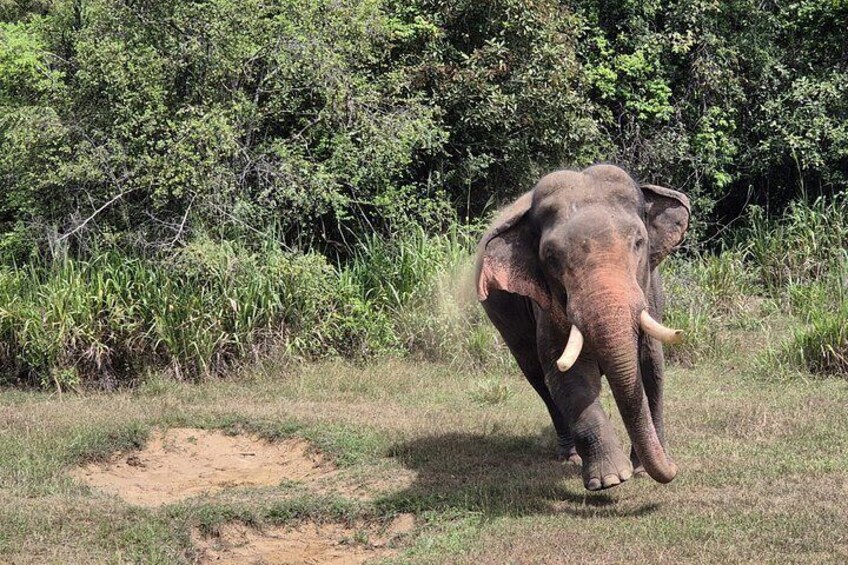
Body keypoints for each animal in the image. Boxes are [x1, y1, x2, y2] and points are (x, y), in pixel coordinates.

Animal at [475, 164, 690, 491]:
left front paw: (641, 469)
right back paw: (570, 456)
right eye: (550, 258)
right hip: (504, 320)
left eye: (638, 243)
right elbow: (565, 374)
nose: (674, 470)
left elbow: (651, 366)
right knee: (538, 377)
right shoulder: (546, 305)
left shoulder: (650, 292)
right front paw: (611, 478)